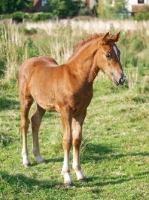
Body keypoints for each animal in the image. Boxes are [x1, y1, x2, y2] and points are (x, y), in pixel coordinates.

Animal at [18, 31, 125, 186]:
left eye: (119, 53)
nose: (122, 79)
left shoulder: (81, 113)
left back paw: (38, 157)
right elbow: (67, 141)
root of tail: (27, 62)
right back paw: (26, 160)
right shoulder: (65, 112)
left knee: (35, 121)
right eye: (108, 55)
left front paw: (80, 174)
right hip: (26, 99)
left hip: (42, 103)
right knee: (24, 123)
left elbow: (77, 140)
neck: (76, 77)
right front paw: (67, 177)